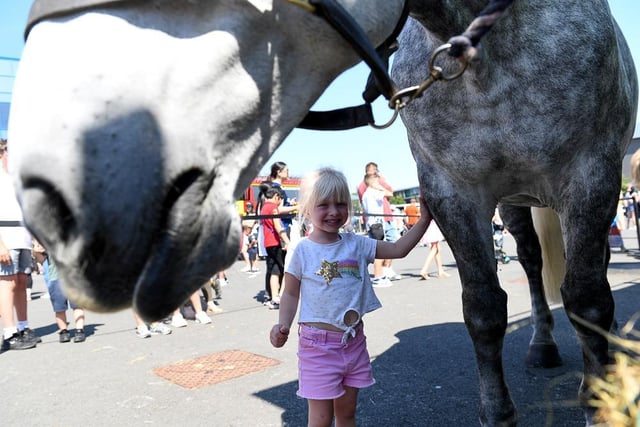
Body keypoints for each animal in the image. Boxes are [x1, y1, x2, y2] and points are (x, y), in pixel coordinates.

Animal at [6, 0, 640, 426]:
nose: (57, 195)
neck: (492, 52)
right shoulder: (455, 192)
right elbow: (483, 309)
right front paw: (499, 412)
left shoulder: (591, 176)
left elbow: (589, 300)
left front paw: (600, 401)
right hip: (515, 202)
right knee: (530, 263)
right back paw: (542, 345)